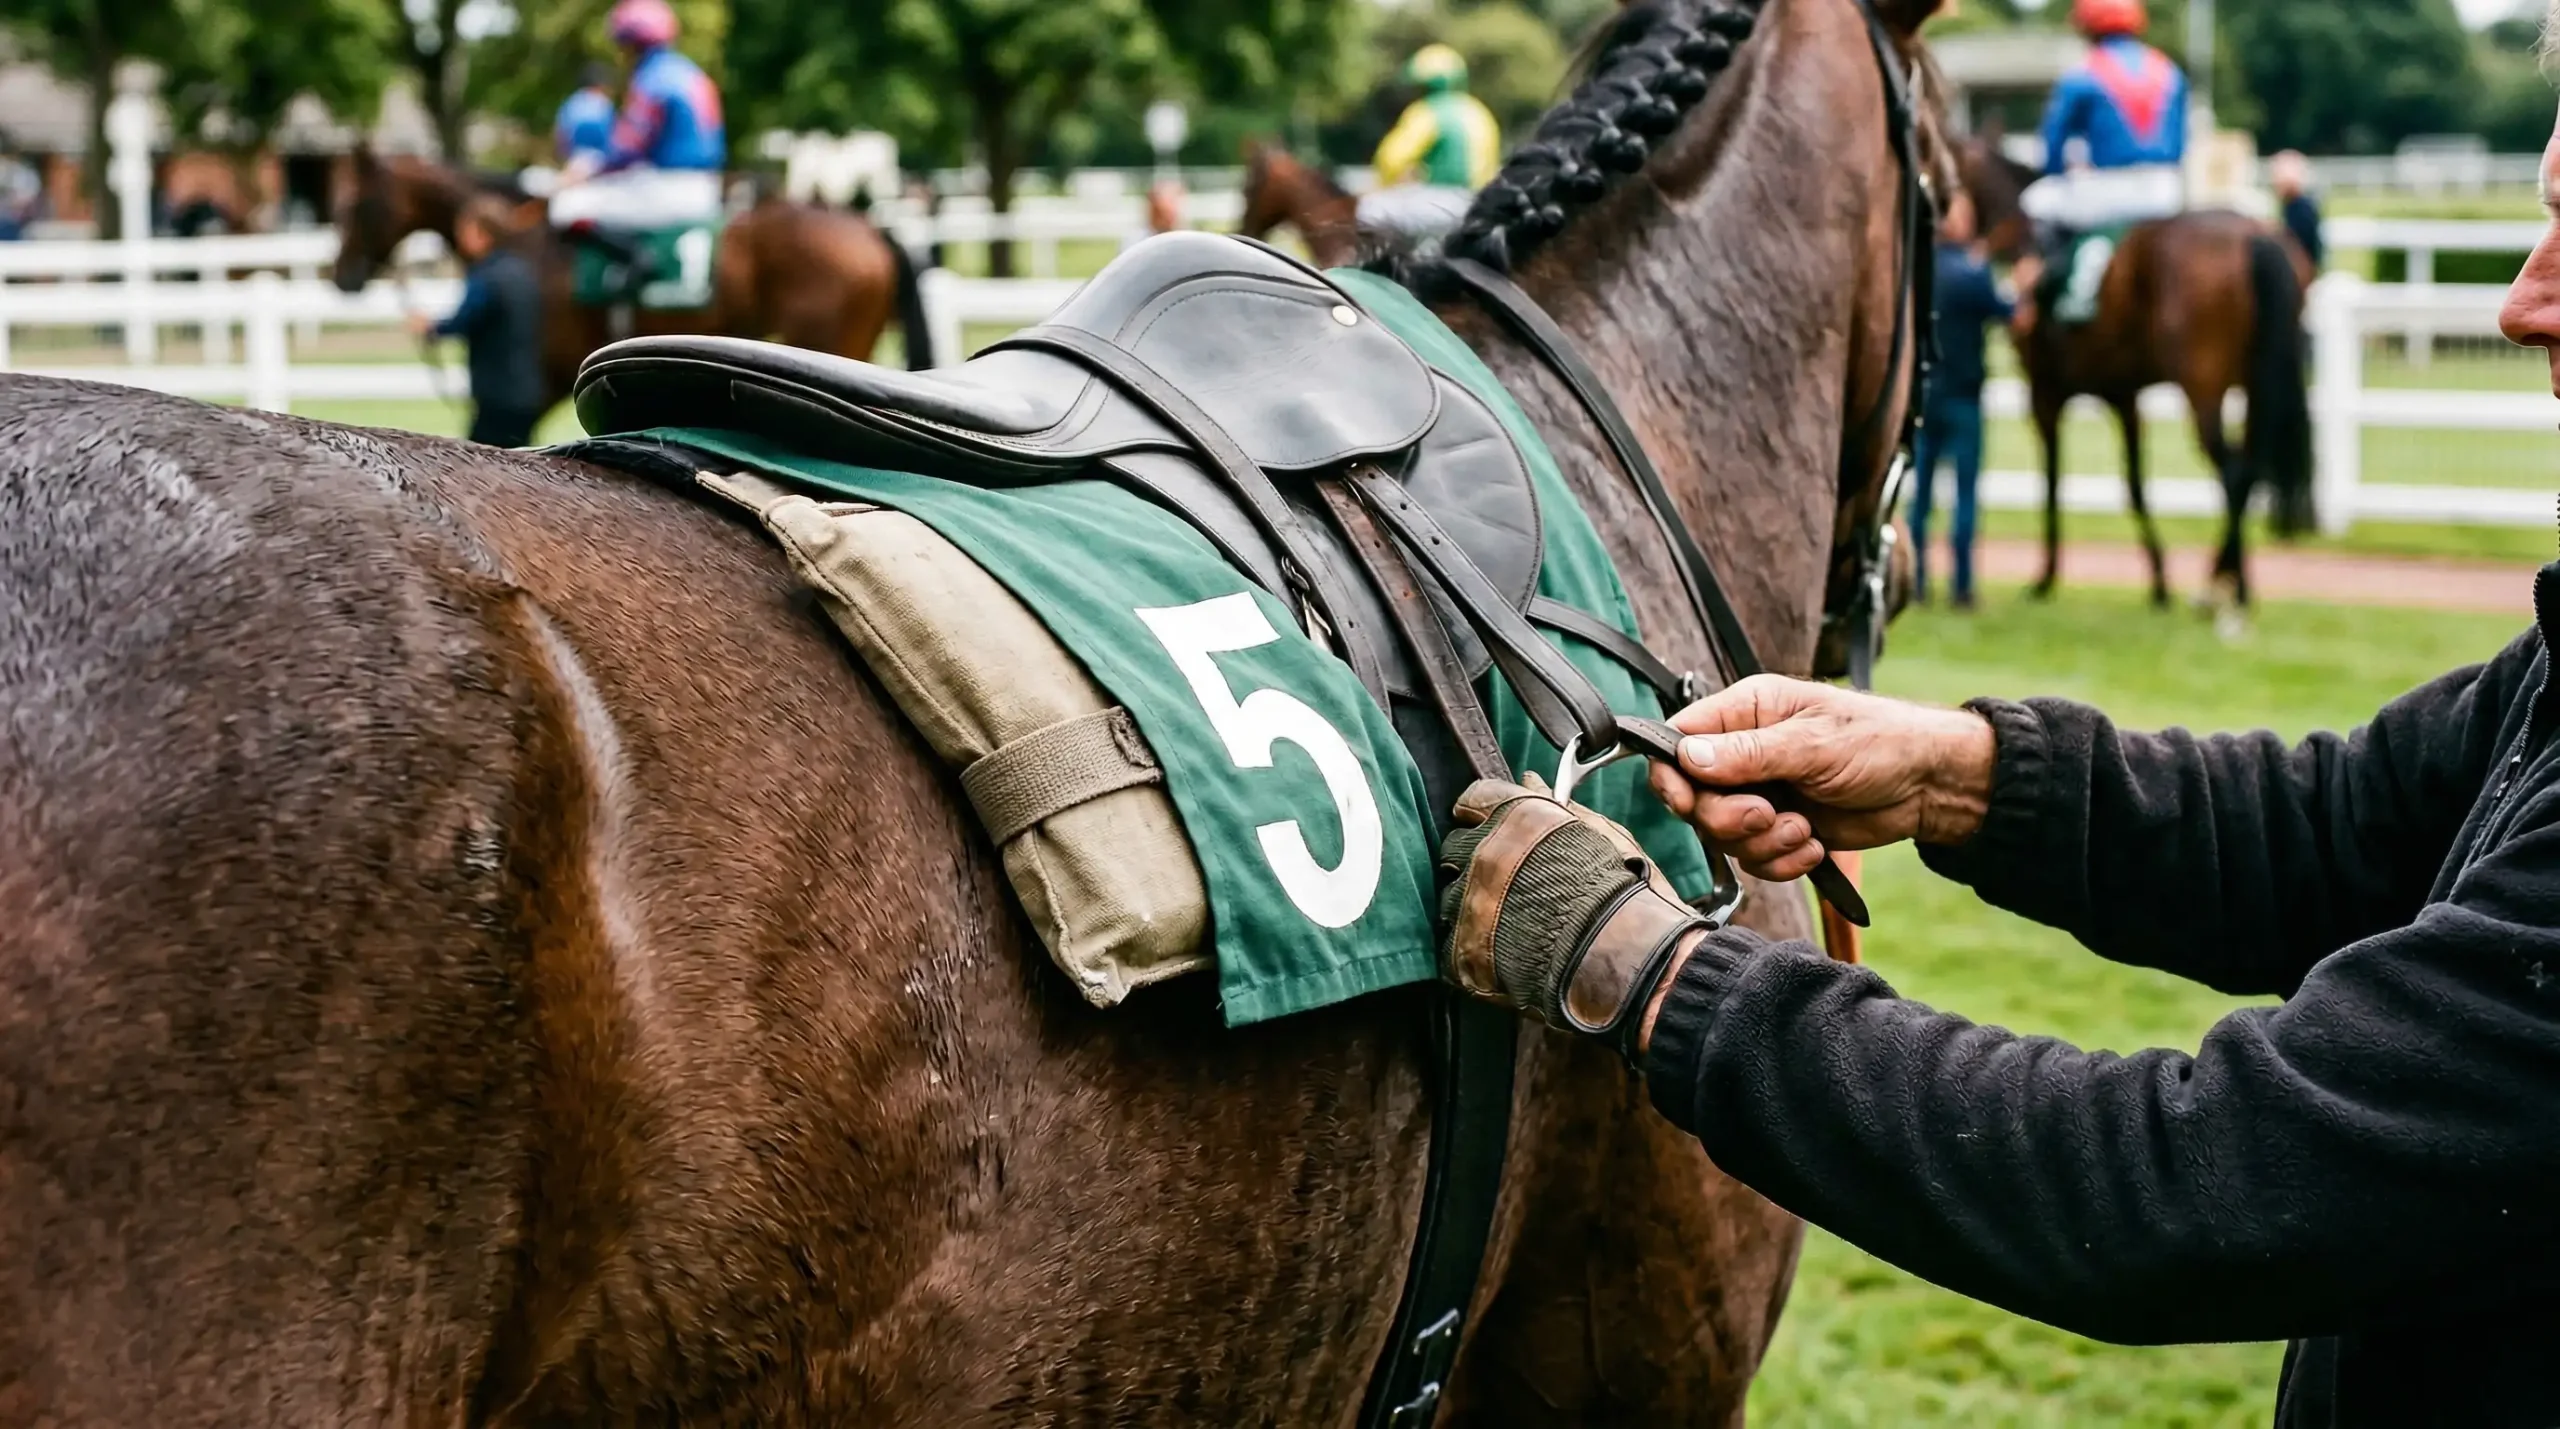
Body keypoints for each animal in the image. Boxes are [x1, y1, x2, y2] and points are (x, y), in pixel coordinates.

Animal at [331, 147, 933, 414]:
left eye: (356, 204)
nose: (342, 276)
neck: (524, 240)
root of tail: (868, 228)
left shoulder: (546, 379)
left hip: (830, 341)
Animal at [1955, 134, 2313, 610]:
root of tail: (2255, 235)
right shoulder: (2124, 396)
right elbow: (2136, 485)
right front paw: (2159, 581)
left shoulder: (2044, 394)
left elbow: (2051, 482)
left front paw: (2044, 578)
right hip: (2258, 385)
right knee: (2253, 466)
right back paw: (2234, 582)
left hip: (2204, 386)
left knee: (2234, 469)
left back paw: (2220, 585)